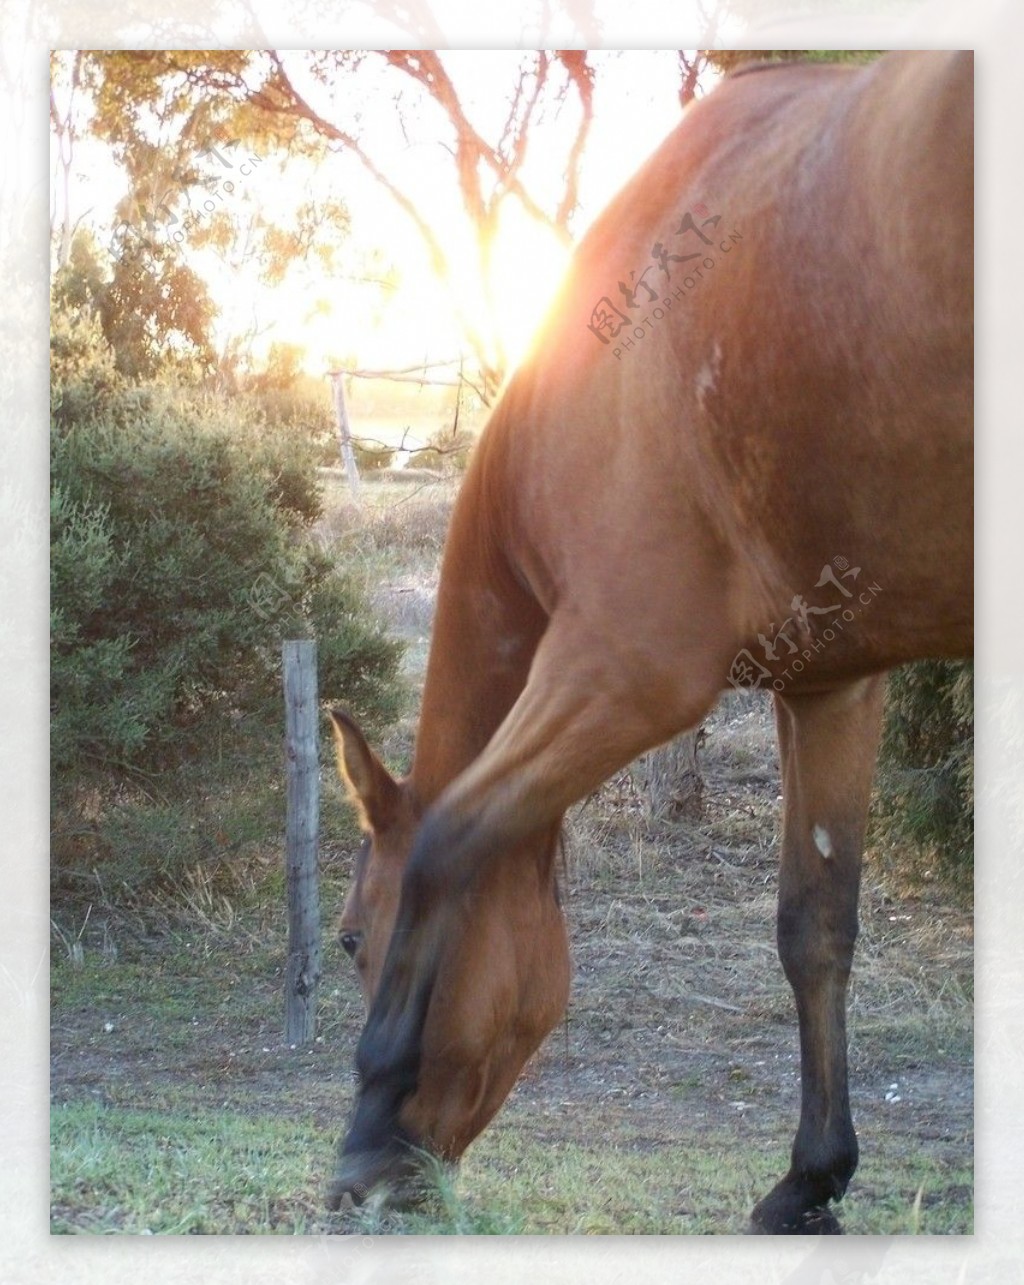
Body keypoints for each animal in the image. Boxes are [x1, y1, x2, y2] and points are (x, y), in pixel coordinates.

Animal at [327, 52, 976, 1233]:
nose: (418, 1162)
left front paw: (367, 1134)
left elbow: (448, 837)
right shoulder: (830, 682)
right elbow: (815, 926)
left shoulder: (623, 672)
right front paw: (810, 1179)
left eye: (355, 938)